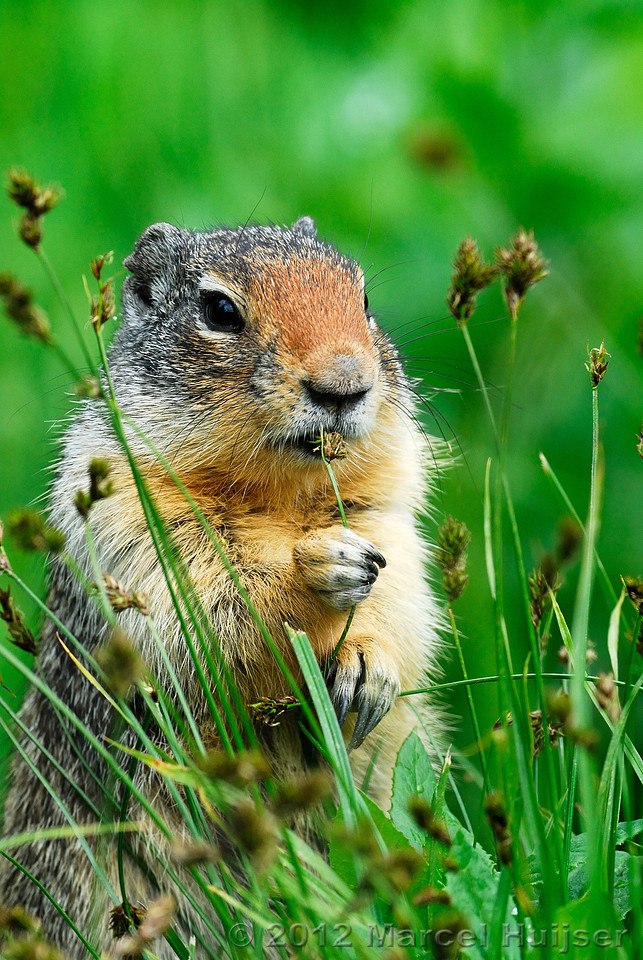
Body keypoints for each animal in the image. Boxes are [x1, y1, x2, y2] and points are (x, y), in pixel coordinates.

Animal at [0, 216, 444, 957]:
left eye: (363, 299)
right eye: (219, 310)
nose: (345, 384)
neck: (279, 498)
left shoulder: (390, 519)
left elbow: (402, 598)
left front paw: (368, 668)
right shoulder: (132, 522)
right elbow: (208, 611)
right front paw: (317, 567)